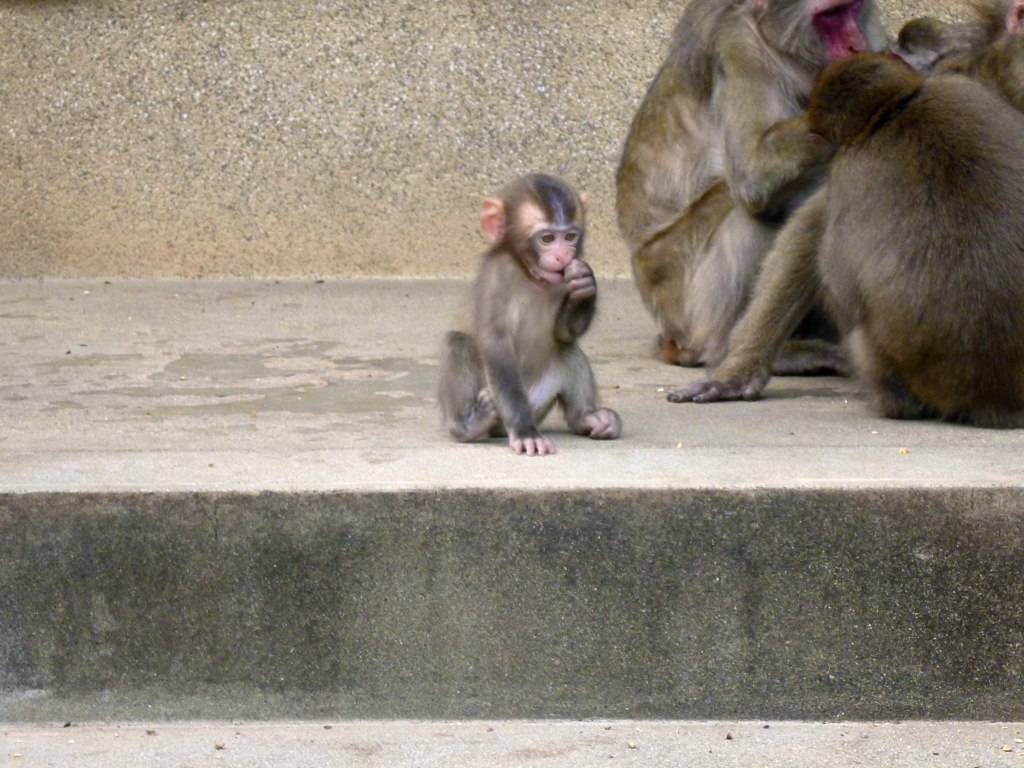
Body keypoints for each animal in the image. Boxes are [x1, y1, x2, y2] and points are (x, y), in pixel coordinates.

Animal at [436, 174, 618, 456]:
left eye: (570, 236)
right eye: (547, 239)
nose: (563, 256)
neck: (530, 276)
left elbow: (563, 333)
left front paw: (585, 284)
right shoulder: (497, 276)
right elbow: (496, 343)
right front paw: (525, 433)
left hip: (543, 398)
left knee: (567, 350)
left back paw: (589, 418)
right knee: (457, 342)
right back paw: (470, 425)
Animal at [614, 0, 888, 372]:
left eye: (852, 8)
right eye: (829, 16)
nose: (854, 46)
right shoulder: (737, 47)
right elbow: (752, 175)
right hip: (677, 293)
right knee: (759, 212)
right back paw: (734, 350)